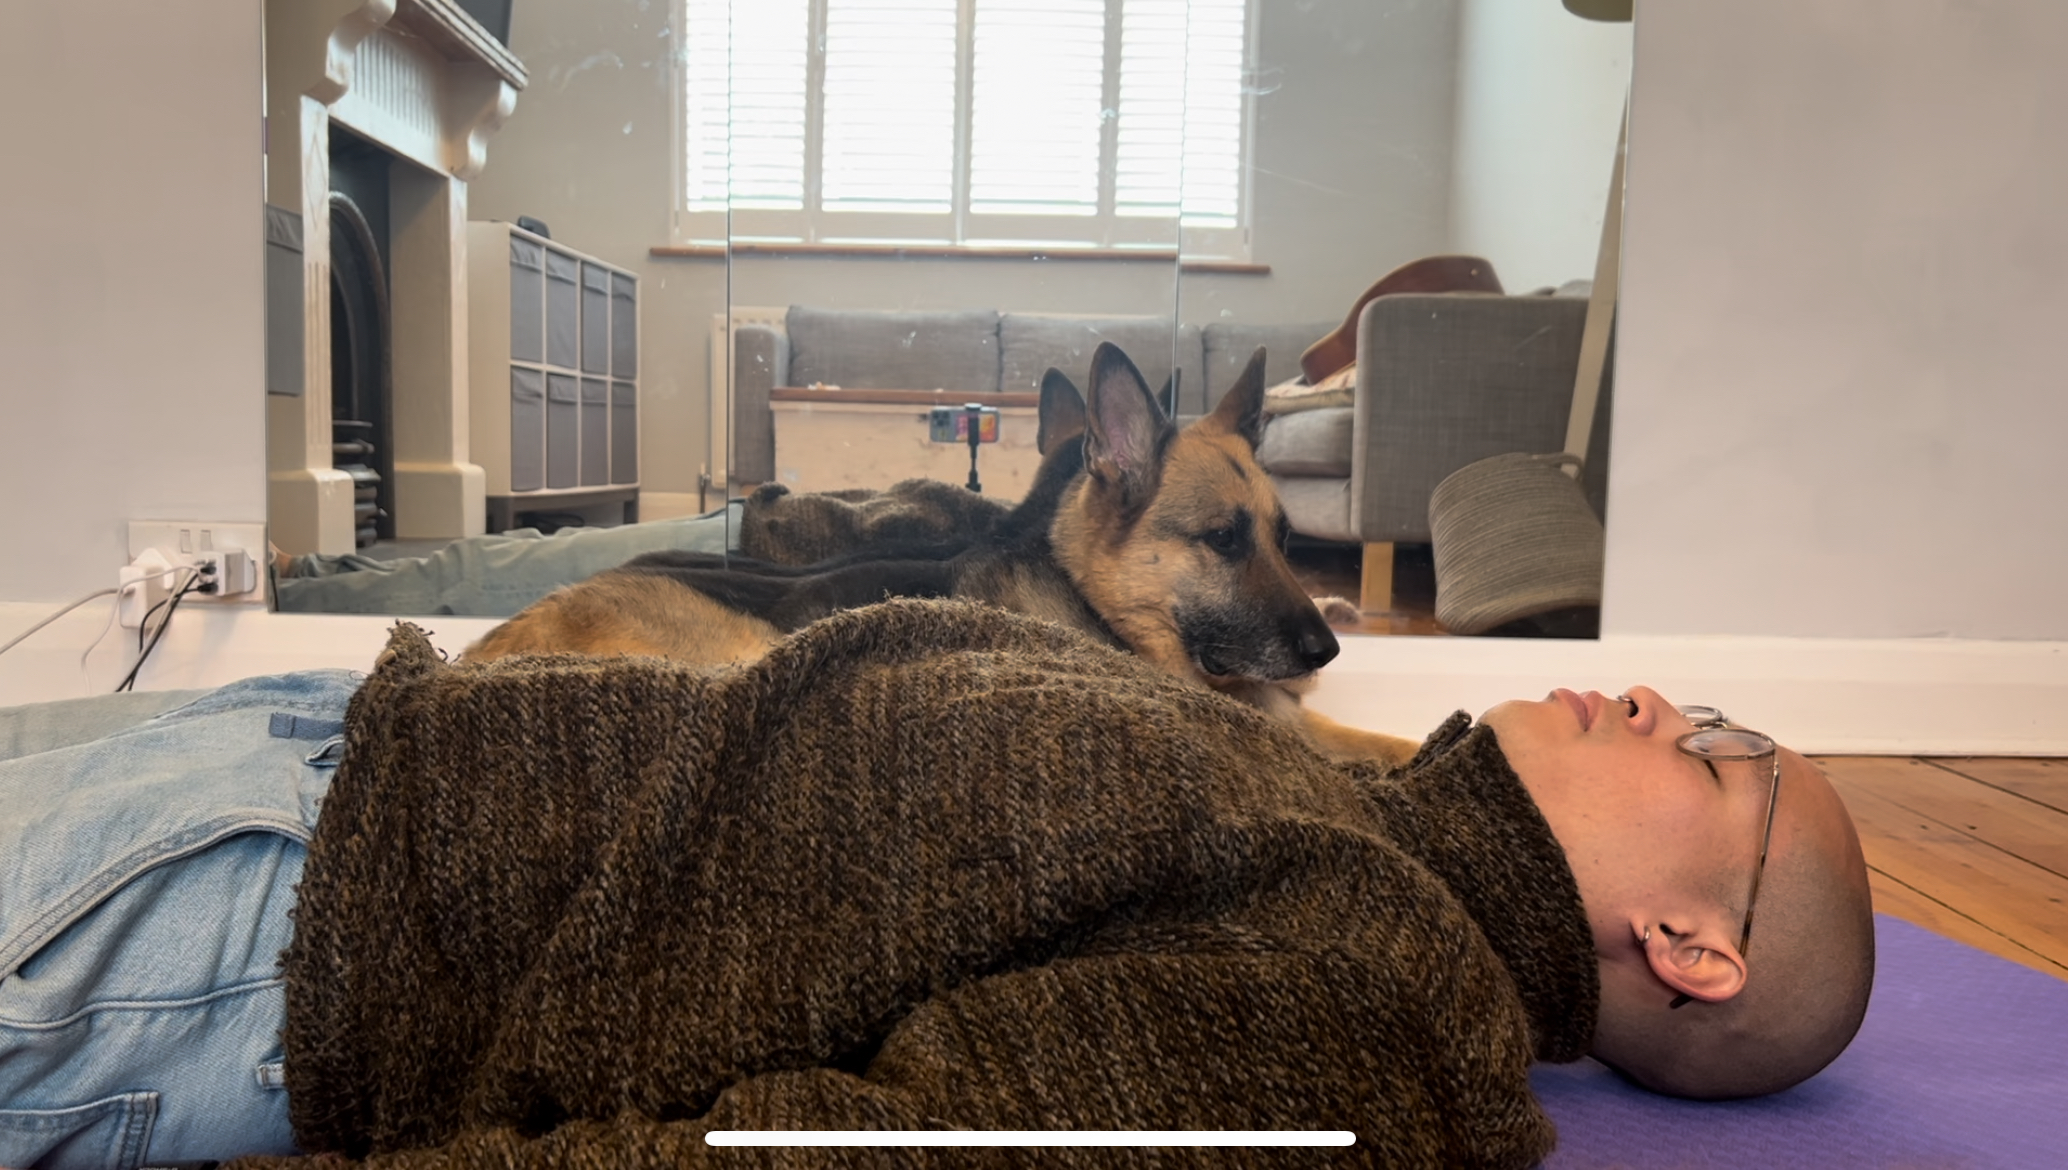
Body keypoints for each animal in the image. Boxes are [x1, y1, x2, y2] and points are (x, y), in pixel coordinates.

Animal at [465, 343, 1422, 764]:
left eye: (1286, 539)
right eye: (1223, 539)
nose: (1326, 651)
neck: (1097, 604)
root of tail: (484, 651)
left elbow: (1389, 742)